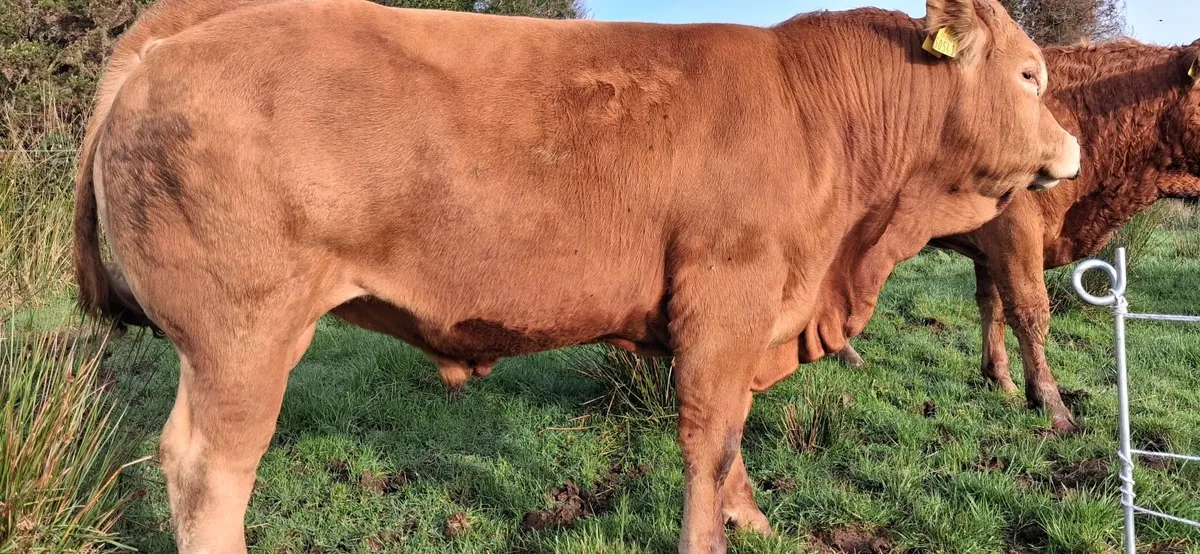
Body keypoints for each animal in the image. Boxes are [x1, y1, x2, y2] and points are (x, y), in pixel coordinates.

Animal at [73, 0, 1079, 551]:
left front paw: (752, 520)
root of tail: (179, 33)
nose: (1071, 147)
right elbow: (709, 440)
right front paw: (712, 535)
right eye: (1031, 75)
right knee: (208, 467)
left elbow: (734, 439)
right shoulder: (726, 298)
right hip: (240, 333)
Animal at [819, 38, 1200, 433]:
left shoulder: (992, 247)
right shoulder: (1016, 234)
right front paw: (1051, 403)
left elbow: (994, 306)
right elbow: (1031, 311)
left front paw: (999, 378)